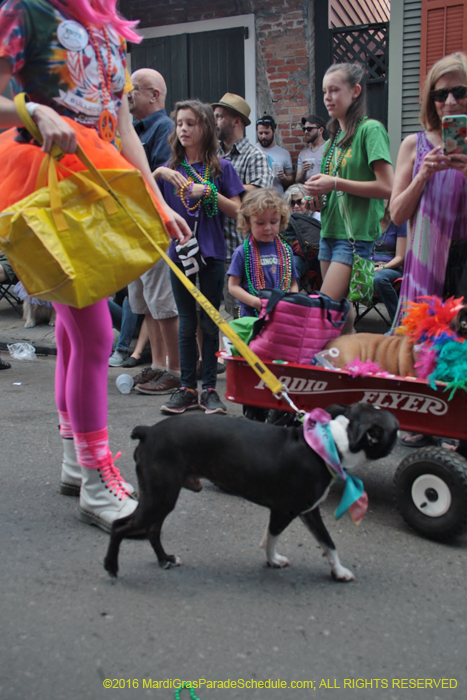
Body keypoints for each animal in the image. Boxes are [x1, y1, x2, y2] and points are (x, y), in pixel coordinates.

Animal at [105, 402, 398, 584]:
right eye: (394, 430)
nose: (398, 438)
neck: (331, 444)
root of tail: (147, 432)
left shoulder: (308, 511)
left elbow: (325, 542)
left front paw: (337, 571)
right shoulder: (286, 510)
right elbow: (275, 538)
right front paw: (274, 560)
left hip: (162, 497)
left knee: (153, 529)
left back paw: (165, 560)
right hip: (159, 496)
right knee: (120, 526)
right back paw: (111, 566)